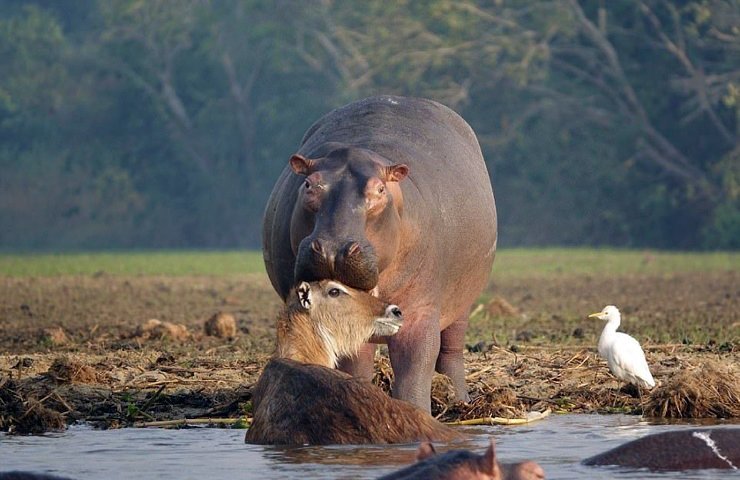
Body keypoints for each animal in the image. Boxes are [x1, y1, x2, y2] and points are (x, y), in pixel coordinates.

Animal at [260, 94, 498, 412]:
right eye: (309, 184)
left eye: (380, 189)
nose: (333, 248)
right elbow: (354, 362)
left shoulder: (421, 310)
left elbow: (416, 366)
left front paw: (417, 411)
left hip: (462, 301)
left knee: (451, 349)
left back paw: (459, 400)